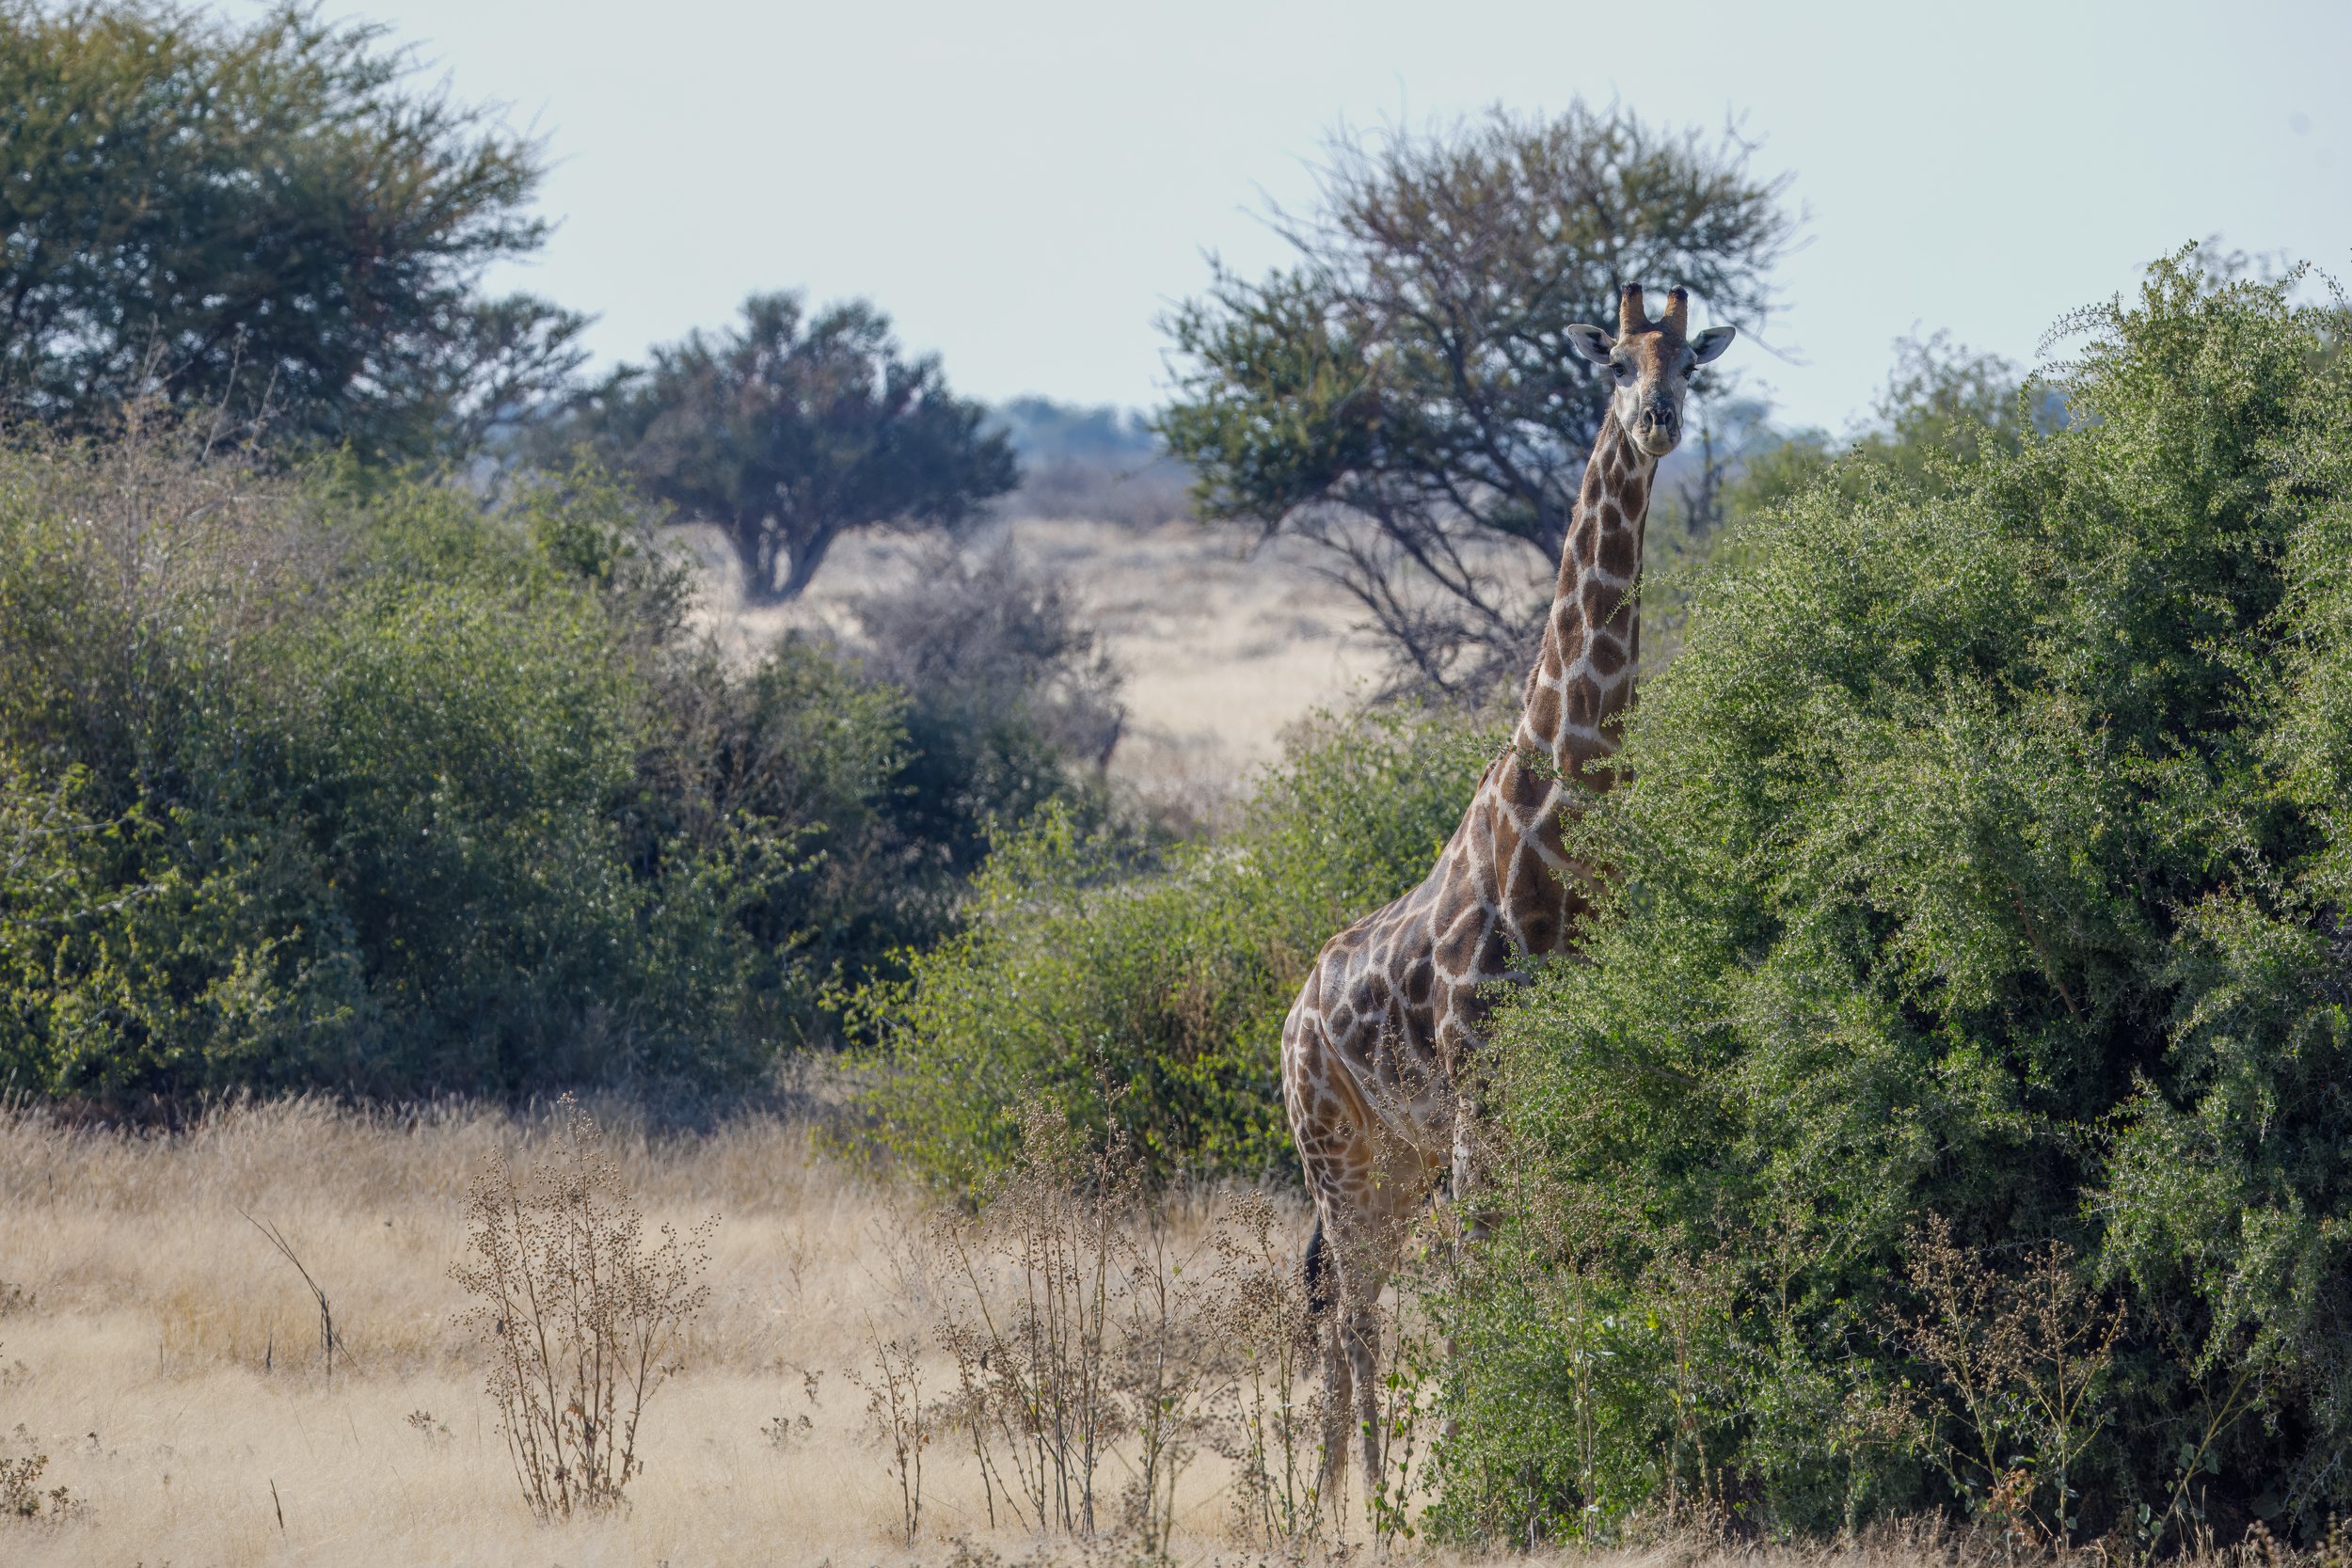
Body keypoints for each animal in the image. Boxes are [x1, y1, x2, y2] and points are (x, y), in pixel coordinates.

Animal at [1279, 282, 1736, 1502]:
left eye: (1692, 362)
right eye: (1615, 362)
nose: (1659, 418)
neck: (1557, 835)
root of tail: (1292, 1015)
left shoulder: (1565, 1094)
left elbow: (1570, 1278)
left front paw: (1571, 1471)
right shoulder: (1482, 1096)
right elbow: (1489, 1296)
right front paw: (1486, 1486)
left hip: (1393, 1159)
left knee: (1353, 1304)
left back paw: (1349, 1491)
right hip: (1334, 1146)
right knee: (1351, 1311)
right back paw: (1355, 1504)